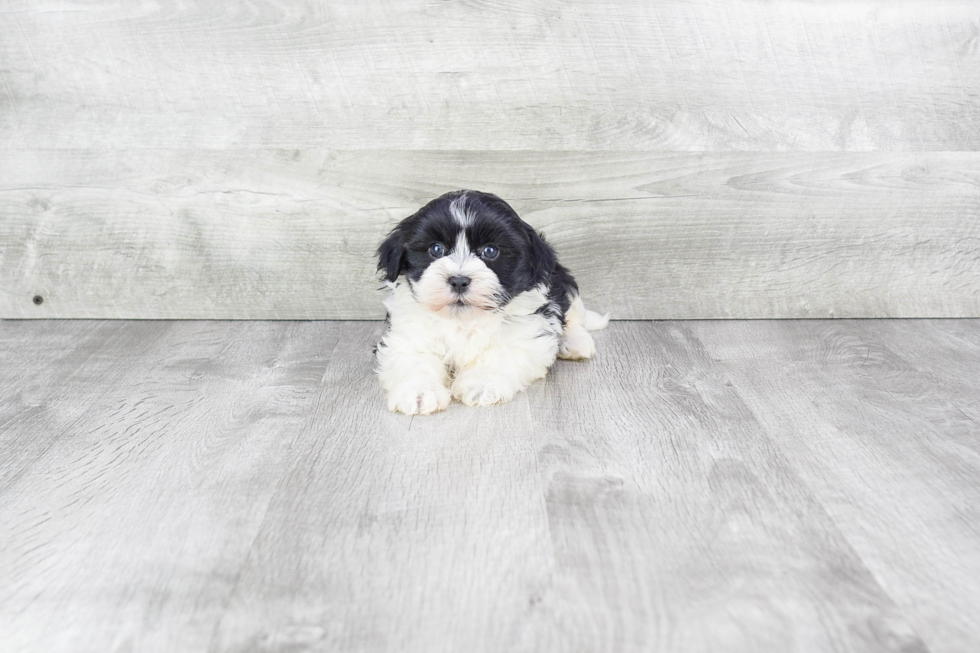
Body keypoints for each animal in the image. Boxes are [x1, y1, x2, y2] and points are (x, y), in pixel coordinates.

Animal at [374, 190, 604, 412]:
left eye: (490, 251)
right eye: (436, 249)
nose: (459, 280)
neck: (464, 321)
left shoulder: (525, 333)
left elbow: (501, 354)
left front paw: (481, 384)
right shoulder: (408, 334)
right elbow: (414, 357)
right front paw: (419, 391)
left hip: (562, 280)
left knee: (573, 315)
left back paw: (575, 342)